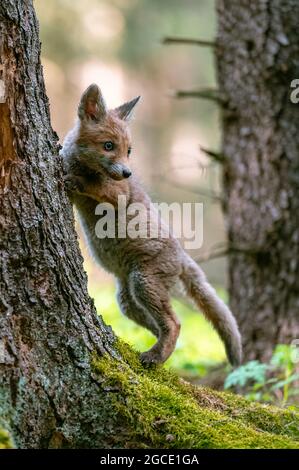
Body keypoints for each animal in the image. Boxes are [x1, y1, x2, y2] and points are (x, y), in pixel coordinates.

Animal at [62, 84, 243, 368]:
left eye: (129, 150)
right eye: (109, 146)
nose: (128, 173)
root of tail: (182, 256)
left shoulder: (119, 192)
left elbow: (94, 185)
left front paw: (76, 180)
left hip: (143, 283)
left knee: (175, 323)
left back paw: (154, 357)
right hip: (128, 300)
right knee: (160, 327)